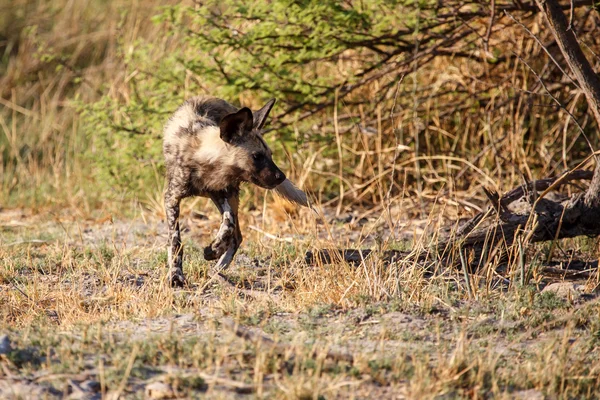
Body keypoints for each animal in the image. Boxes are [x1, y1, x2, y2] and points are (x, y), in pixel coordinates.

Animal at [163, 95, 310, 286]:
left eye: (270, 155)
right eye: (257, 156)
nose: (281, 177)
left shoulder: (224, 193)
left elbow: (229, 224)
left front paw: (214, 248)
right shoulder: (172, 198)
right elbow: (175, 242)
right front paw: (176, 275)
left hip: (231, 196)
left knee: (237, 236)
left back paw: (217, 268)